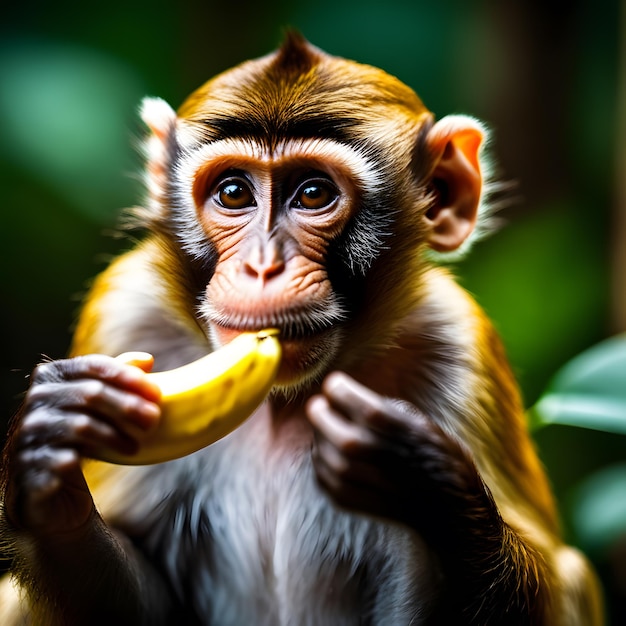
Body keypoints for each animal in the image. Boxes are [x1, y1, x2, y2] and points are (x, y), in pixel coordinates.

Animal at [0, 34, 604, 624]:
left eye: (313, 193)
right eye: (233, 193)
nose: (263, 267)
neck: (283, 399)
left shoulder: (459, 341)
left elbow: (558, 585)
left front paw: (426, 482)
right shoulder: (126, 311)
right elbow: (145, 600)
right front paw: (48, 459)